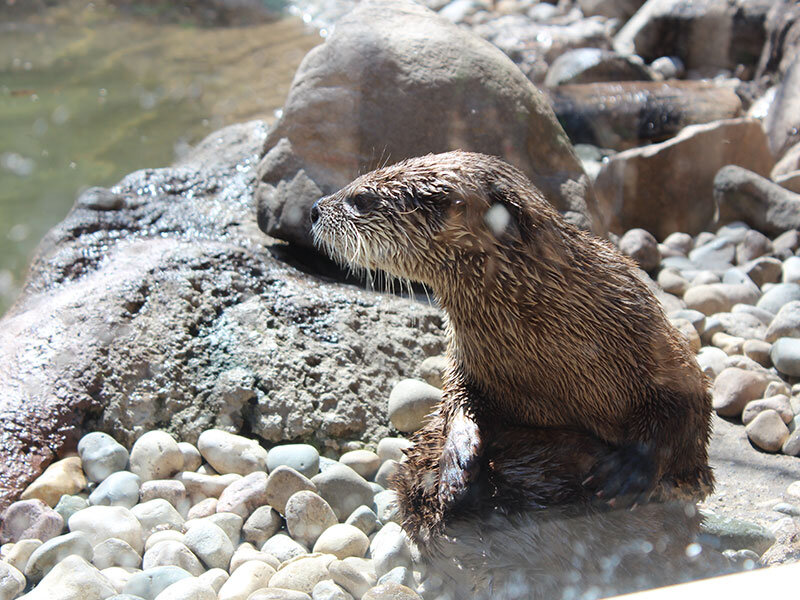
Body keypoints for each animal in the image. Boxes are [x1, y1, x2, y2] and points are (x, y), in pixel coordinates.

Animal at [311, 151, 716, 598]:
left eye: (361, 198)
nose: (315, 208)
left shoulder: (660, 347)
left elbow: (687, 406)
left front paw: (629, 471)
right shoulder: (469, 364)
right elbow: (458, 403)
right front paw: (456, 463)